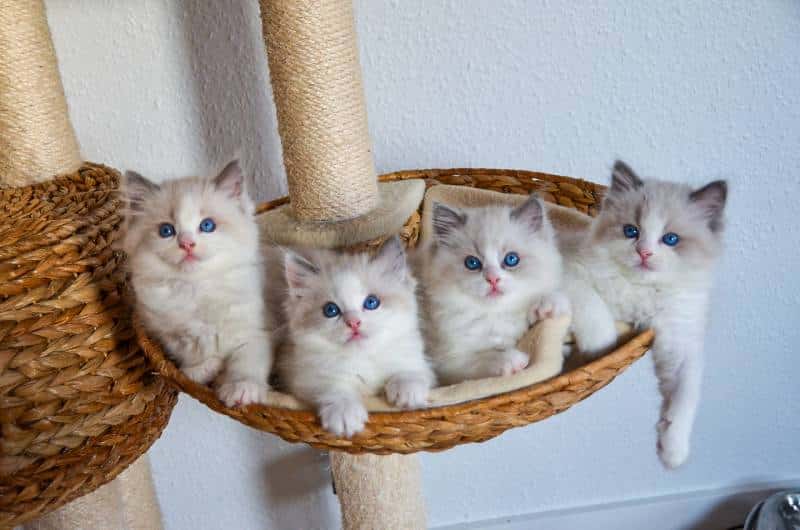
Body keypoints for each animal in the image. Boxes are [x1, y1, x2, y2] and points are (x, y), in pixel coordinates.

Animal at [122, 160, 272, 404]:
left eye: (207, 225)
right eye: (166, 230)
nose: (187, 244)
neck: (196, 289)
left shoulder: (255, 331)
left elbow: (246, 362)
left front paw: (241, 388)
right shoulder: (167, 333)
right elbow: (190, 353)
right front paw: (203, 368)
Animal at [278, 237, 434, 436]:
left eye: (371, 302)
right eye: (331, 310)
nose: (353, 323)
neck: (363, 357)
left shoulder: (418, 362)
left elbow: (410, 372)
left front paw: (407, 392)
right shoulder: (305, 378)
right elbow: (334, 388)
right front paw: (344, 413)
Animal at [418, 195, 568, 384]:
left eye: (511, 259)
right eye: (472, 263)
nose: (493, 279)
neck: (493, 315)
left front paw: (548, 305)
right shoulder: (447, 363)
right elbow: (482, 358)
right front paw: (512, 360)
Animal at [564, 160, 732, 466]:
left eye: (671, 239)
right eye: (631, 231)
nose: (644, 253)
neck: (642, 292)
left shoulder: (680, 341)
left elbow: (685, 396)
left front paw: (673, 451)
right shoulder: (570, 274)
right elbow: (593, 309)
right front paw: (600, 346)